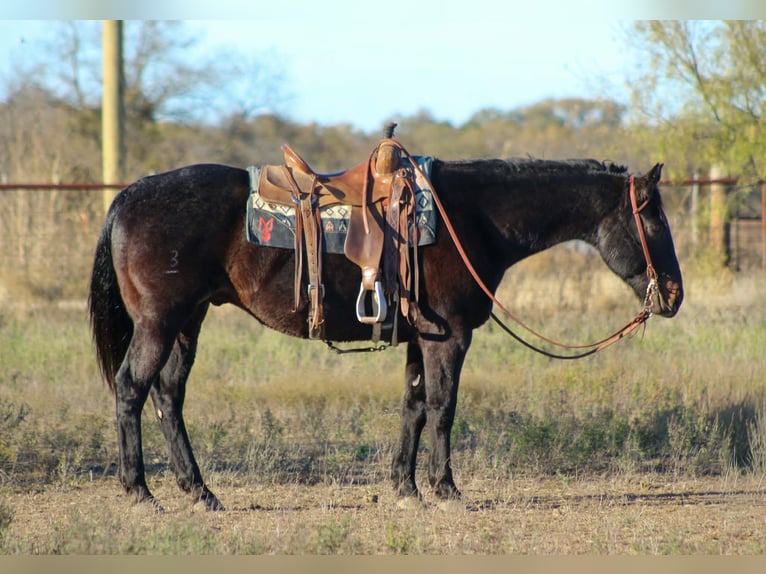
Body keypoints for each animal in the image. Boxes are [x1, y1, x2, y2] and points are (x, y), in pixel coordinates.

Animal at [88, 152, 683, 511]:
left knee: (168, 396)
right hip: (160, 323)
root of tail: (128, 196)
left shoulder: (422, 339)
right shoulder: (450, 338)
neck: (471, 217)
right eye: (653, 218)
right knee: (132, 390)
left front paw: (405, 487)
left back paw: (200, 492)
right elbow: (443, 407)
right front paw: (446, 488)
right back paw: (140, 490)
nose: (674, 295)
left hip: (188, 323)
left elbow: (413, 406)